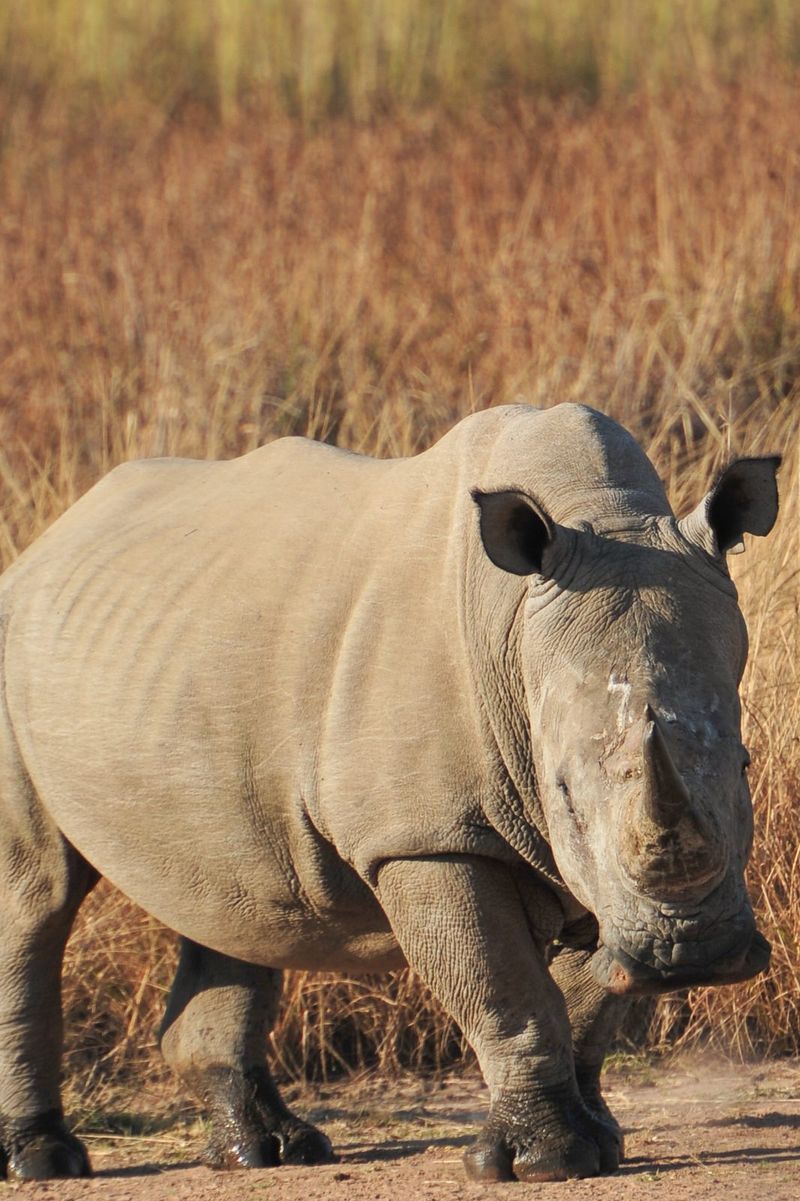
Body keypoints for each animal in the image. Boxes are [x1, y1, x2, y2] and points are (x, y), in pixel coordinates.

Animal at [0, 403, 779, 1182]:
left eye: (744, 765)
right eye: (562, 795)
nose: (691, 953)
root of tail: (45, 544)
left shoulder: (599, 879)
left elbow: (590, 998)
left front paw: (600, 1141)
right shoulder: (425, 840)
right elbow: (506, 992)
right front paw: (545, 1160)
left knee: (235, 898)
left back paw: (268, 1151)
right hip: (17, 645)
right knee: (37, 896)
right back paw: (45, 1160)